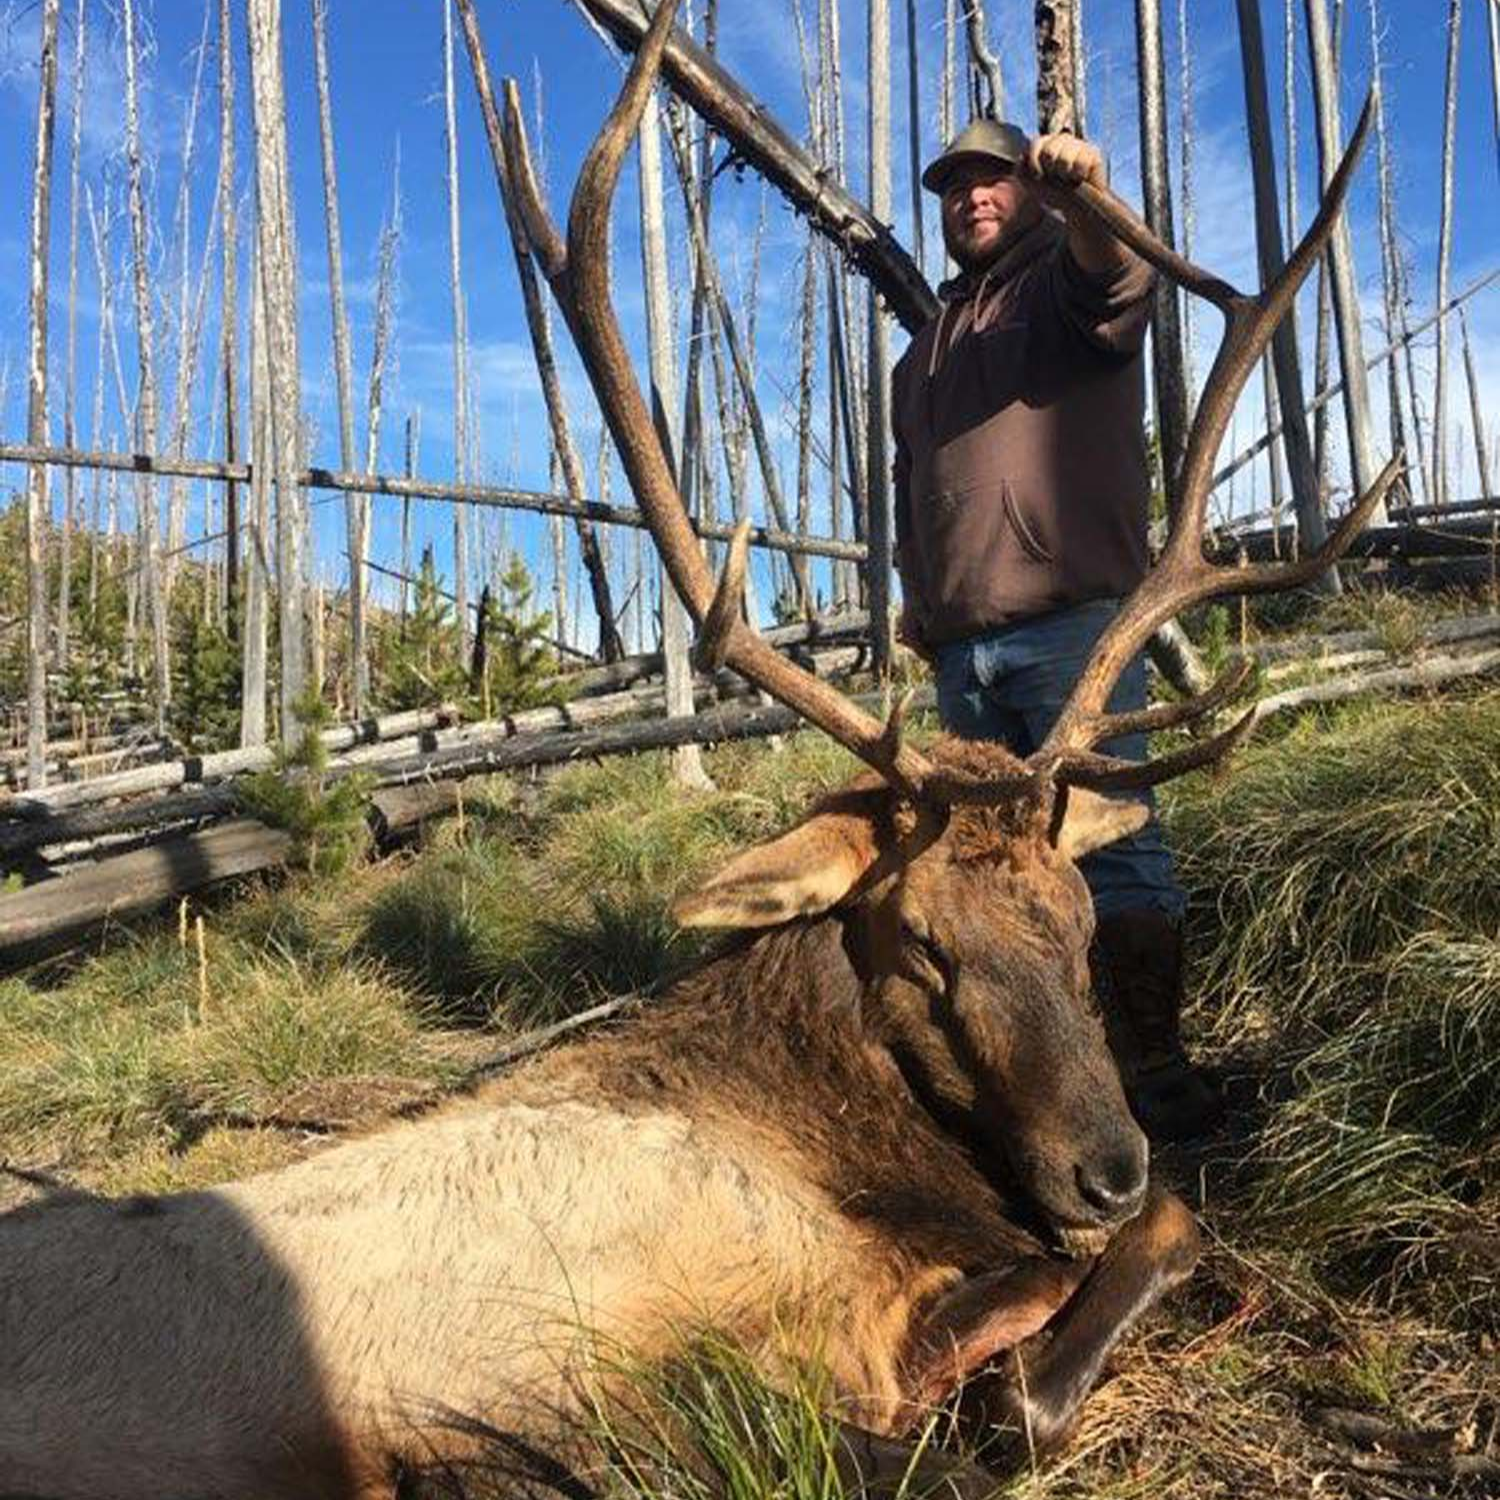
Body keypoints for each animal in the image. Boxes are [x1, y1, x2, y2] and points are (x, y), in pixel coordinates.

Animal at [0, 5, 1398, 1498]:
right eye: (919, 942)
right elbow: (1060, 1339)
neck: (839, 1144)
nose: (1105, 1167)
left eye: (1078, 923)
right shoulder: (768, 1352)